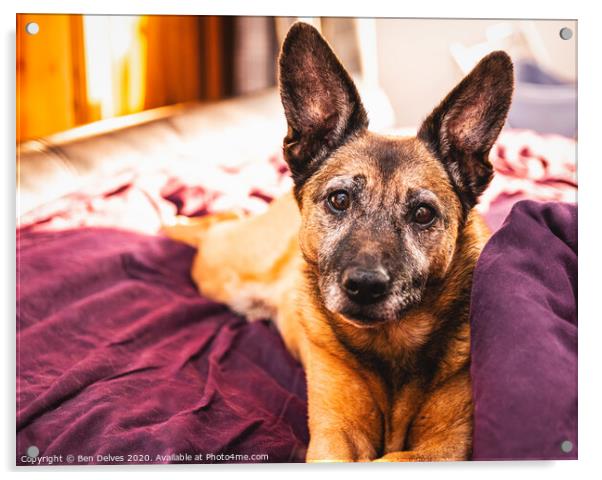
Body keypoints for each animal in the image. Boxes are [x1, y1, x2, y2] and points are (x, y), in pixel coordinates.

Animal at [163, 22, 510, 462]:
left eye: (423, 214)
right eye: (340, 199)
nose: (364, 286)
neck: (389, 348)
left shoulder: (446, 446)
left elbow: (392, 459)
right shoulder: (337, 435)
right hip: (219, 271)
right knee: (218, 223)